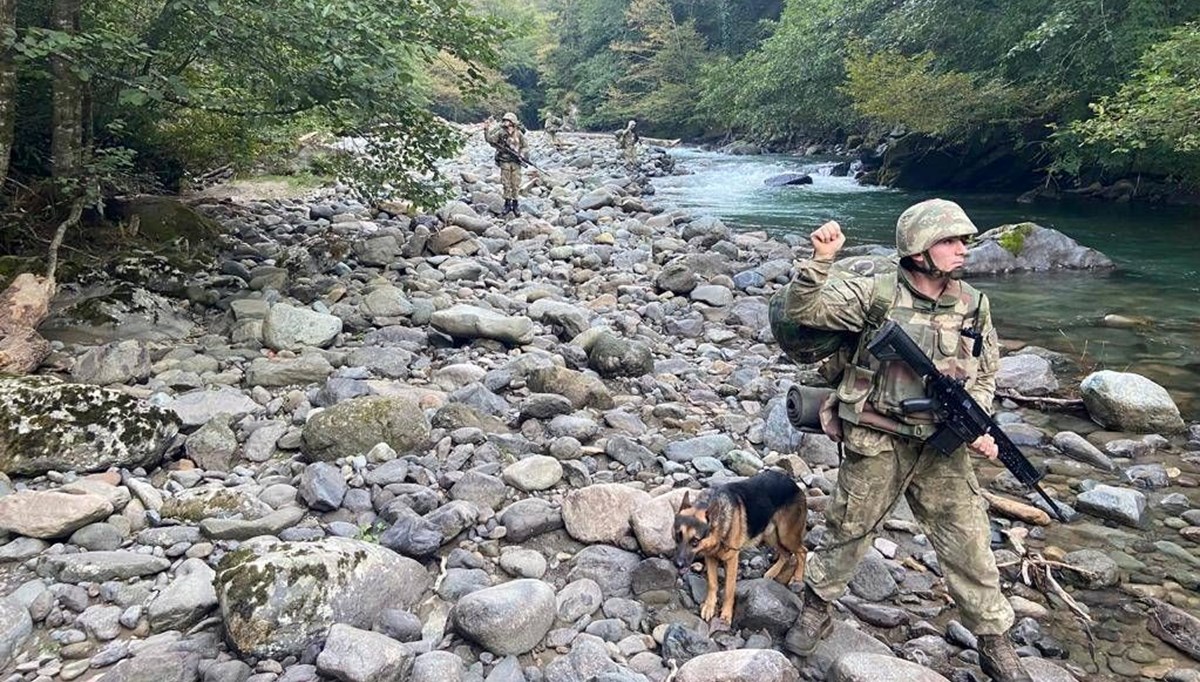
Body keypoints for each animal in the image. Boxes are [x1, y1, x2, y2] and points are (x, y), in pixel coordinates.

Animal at [672, 468, 811, 624]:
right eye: (678, 536)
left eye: (695, 541)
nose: (677, 564)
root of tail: (793, 484)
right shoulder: (711, 558)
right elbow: (713, 584)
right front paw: (709, 606)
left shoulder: (732, 560)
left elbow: (729, 589)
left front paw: (726, 614)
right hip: (769, 535)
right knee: (786, 554)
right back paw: (772, 572)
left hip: (786, 537)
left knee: (802, 551)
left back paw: (797, 577)